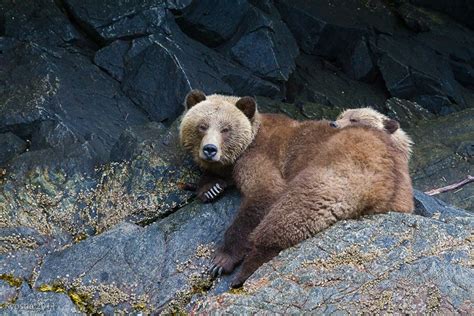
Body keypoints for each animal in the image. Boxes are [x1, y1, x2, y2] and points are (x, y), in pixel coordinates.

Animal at [180, 90, 412, 288]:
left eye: (225, 129)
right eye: (202, 126)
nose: (210, 149)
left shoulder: (261, 156)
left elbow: (264, 194)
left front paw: (221, 260)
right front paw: (210, 187)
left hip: (339, 167)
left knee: (293, 211)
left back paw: (245, 272)